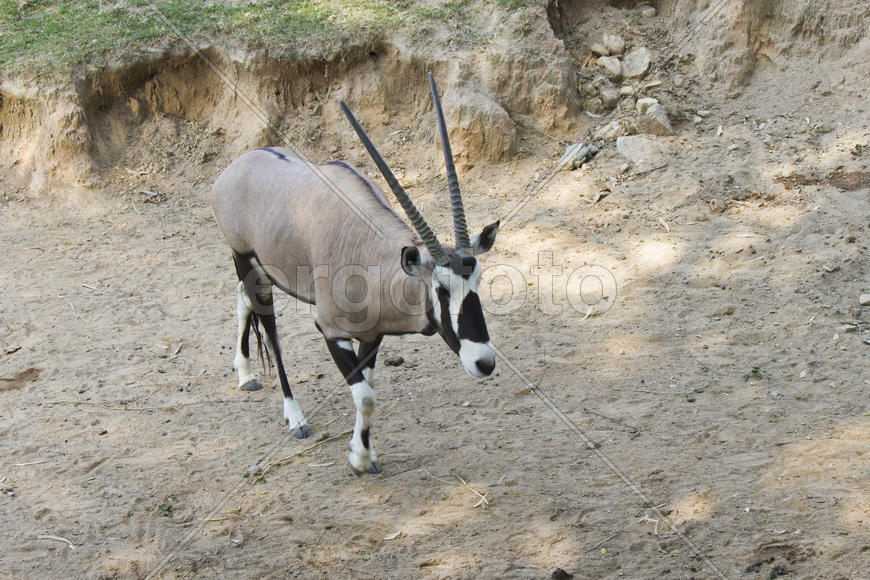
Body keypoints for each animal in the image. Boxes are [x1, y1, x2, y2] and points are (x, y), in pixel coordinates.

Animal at [212, 73, 499, 474]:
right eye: (441, 289)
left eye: (478, 280)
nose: (484, 362)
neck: (372, 258)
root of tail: (235, 168)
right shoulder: (331, 330)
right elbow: (364, 396)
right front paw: (360, 459)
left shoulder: (371, 335)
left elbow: (369, 385)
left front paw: (364, 450)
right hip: (246, 258)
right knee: (269, 330)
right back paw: (294, 416)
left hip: (256, 268)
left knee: (242, 302)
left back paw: (245, 373)